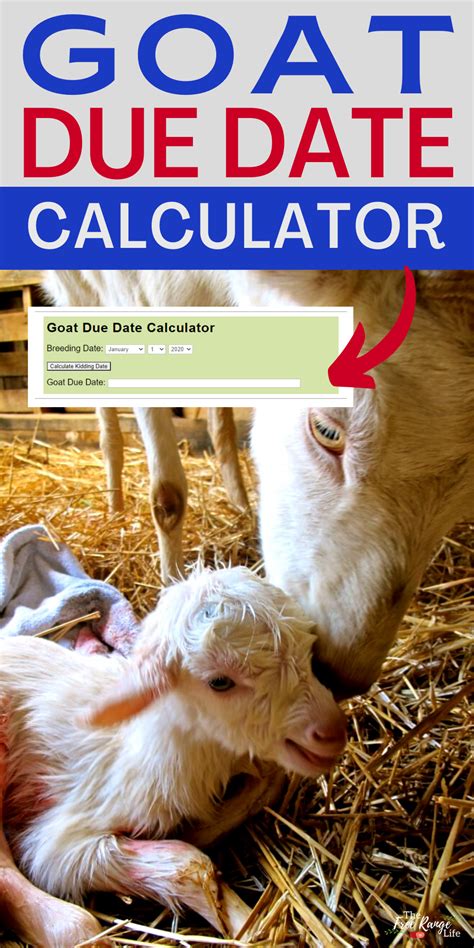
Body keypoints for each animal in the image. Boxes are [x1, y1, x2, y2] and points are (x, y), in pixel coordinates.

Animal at [0, 566, 346, 945]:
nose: (332, 731)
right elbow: (191, 865)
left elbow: (268, 784)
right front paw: (241, 920)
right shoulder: (66, 840)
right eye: (220, 682)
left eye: (307, 647)